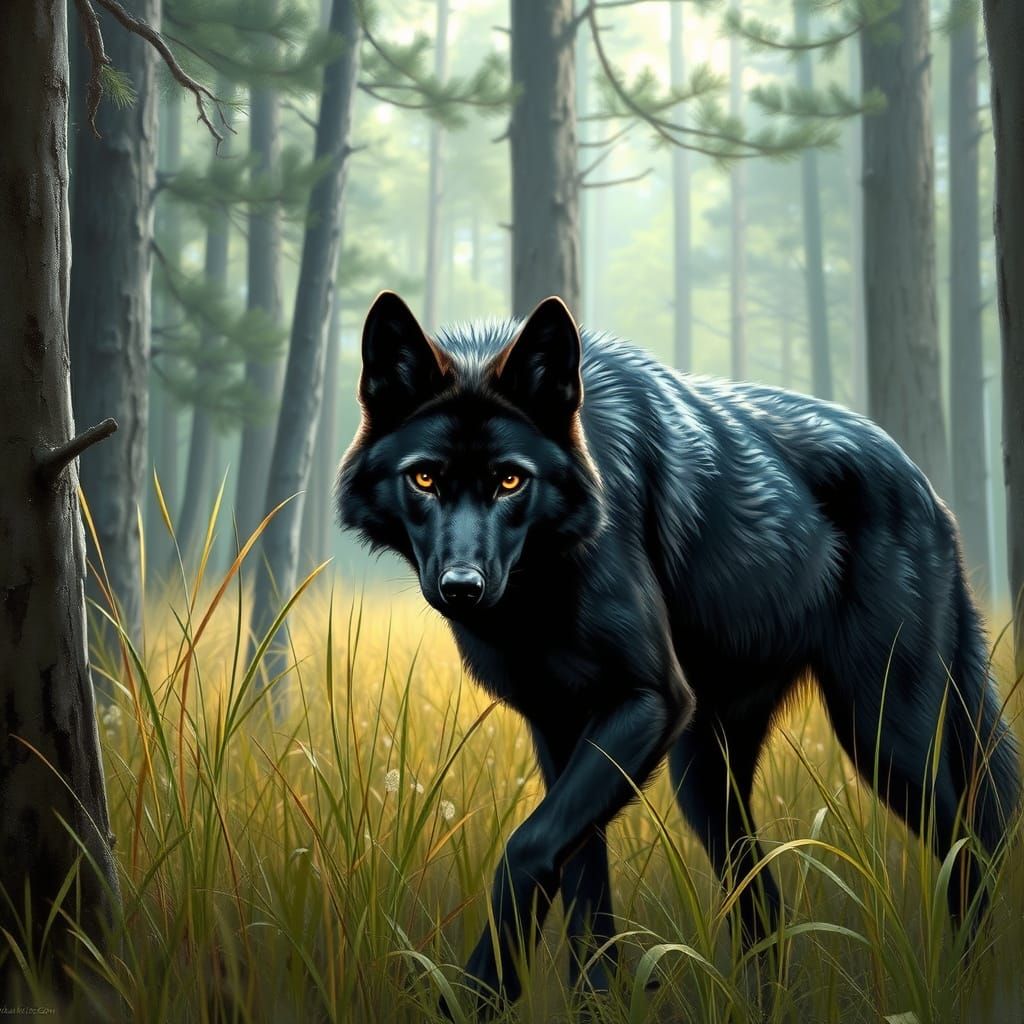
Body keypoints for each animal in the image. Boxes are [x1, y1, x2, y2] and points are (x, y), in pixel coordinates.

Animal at [336, 291, 1020, 1012]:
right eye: (424, 478)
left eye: (511, 482)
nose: (462, 586)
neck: (539, 590)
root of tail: (926, 485)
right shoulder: (560, 727)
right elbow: (583, 889)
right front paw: (596, 1007)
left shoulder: (650, 700)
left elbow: (527, 845)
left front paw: (479, 992)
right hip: (705, 774)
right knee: (763, 899)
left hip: (883, 735)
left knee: (971, 844)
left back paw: (966, 988)